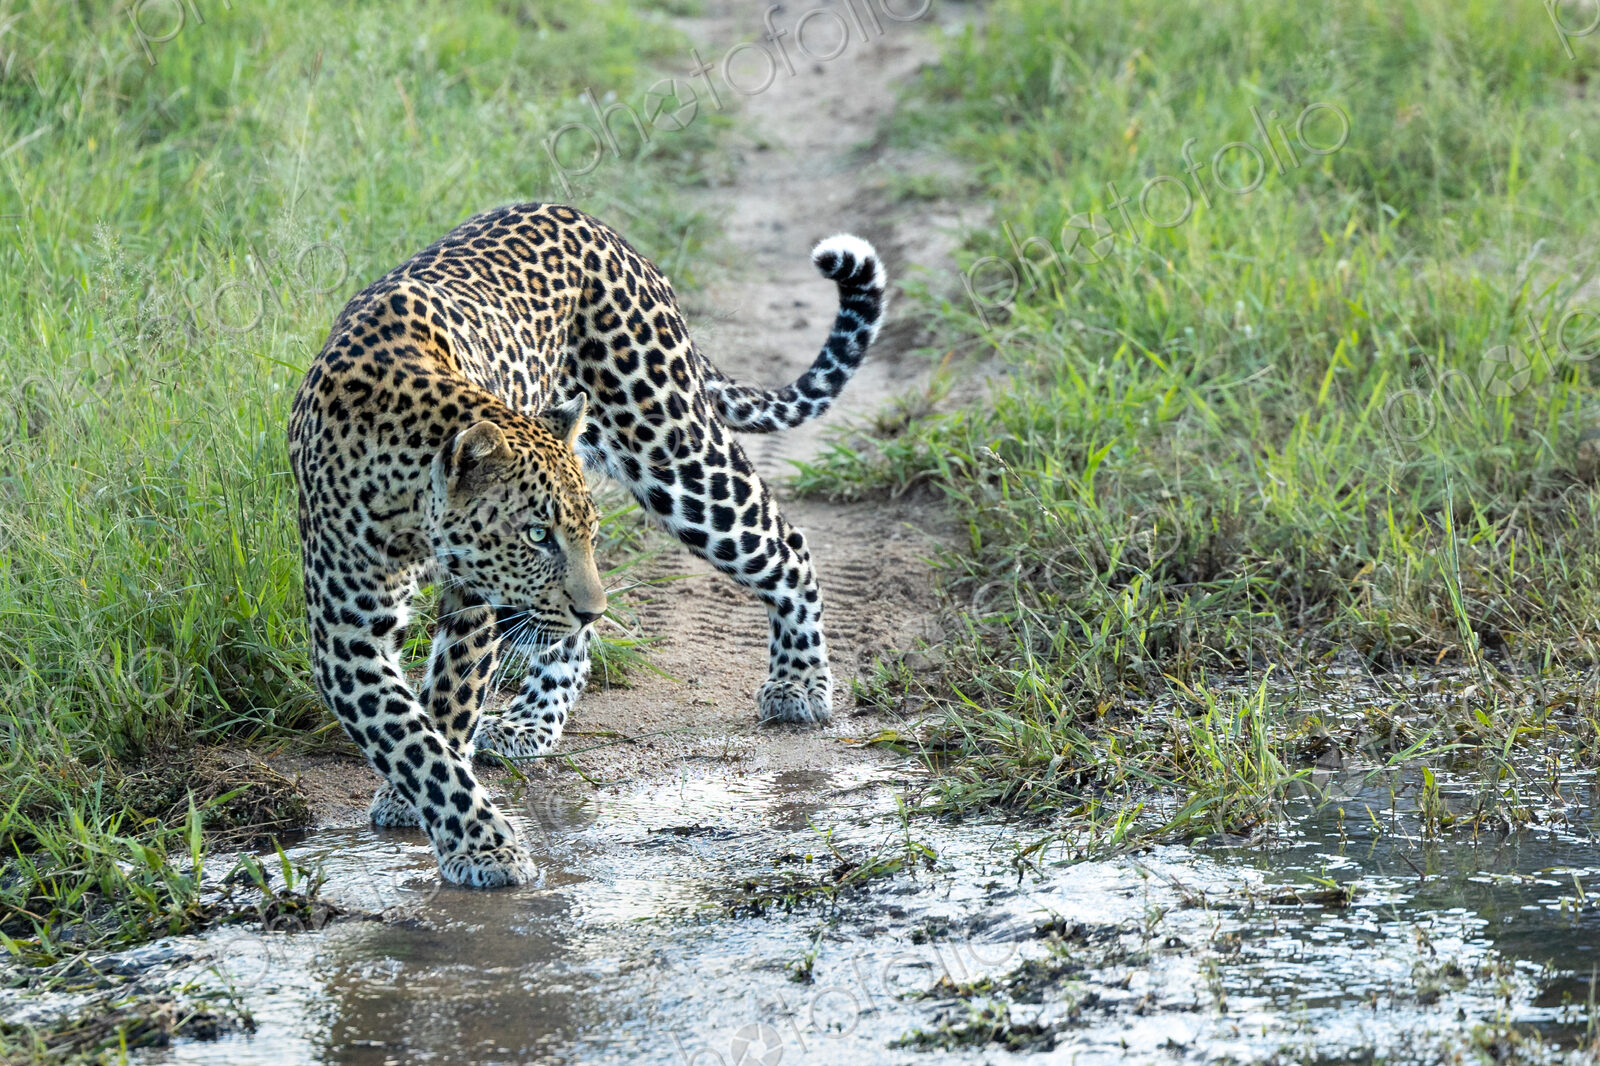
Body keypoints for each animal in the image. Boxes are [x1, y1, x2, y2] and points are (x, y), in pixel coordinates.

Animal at [288, 203, 886, 886]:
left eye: (585, 534)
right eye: (537, 535)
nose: (591, 607)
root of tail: (599, 227)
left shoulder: (472, 607)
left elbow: (445, 707)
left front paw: (462, 836)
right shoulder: (346, 632)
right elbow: (411, 740)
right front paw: (465, 830)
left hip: (675, 450)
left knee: (783, 542)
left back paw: (798, 683)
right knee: (568, 639)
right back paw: (533, 718)